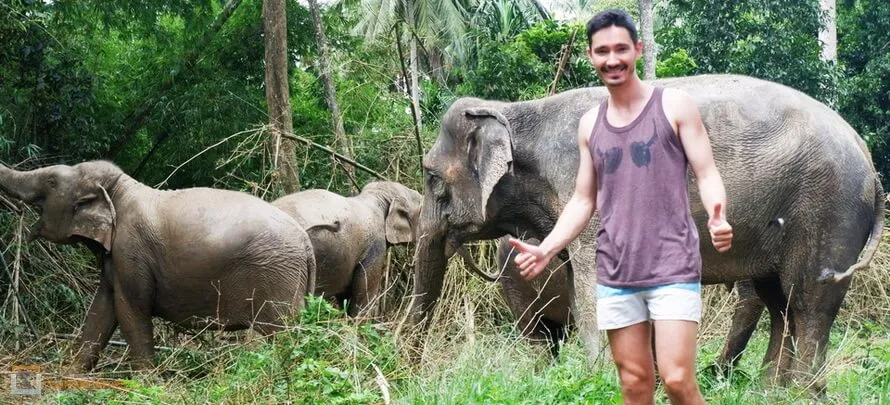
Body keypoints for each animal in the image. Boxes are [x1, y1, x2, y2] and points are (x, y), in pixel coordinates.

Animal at [0, 160, 316, 371]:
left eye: (52, 182)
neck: (121, 189)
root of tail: (305, 242)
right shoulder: (115, 258)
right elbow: (101, 310)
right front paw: (70, 373)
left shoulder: (131, 249)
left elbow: (130, 309)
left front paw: (146, 383)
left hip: (277, 277)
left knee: (286, 332)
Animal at [409, 74, 884, 390]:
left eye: (431, 177)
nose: (409, 372)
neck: (518, 111)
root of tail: (869, 160)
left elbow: (593, 287)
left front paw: (600, 382)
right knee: (779, 301)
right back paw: (770, 392)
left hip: (829, 209)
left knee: (808, 301)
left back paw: (802, 392)